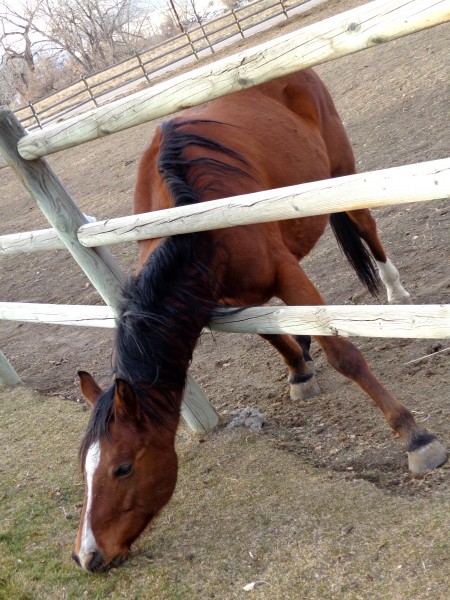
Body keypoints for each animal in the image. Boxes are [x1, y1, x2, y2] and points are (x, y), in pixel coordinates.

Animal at [71, 69, 446, 572]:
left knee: (363, 221)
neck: (192, 223)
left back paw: (395, 291)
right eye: (83, 469)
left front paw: (414, 436)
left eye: (122, 467)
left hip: (339, 172)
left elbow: (343, 354)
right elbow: (269, 332)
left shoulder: (286, 272)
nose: (87, 555)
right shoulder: (223, 297)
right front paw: (299, 369)